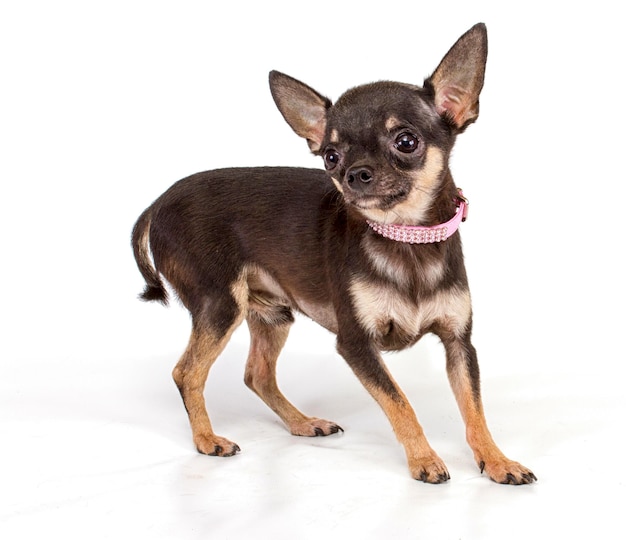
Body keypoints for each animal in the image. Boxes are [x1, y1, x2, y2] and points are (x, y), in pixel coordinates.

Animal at [132, 22, 536, 486]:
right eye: (330, 156)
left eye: (406, 141)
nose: (353, 174)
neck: (404, 237)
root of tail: (157, 204)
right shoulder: (356, 344)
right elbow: (401, 403)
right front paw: (424, 459)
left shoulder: (459, 343)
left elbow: (474, 409)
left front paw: (497, 460)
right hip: (220, 305)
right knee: (187, 373)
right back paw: (207, 439)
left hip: (272, 313)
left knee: (257, 375)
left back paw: (303, 422)